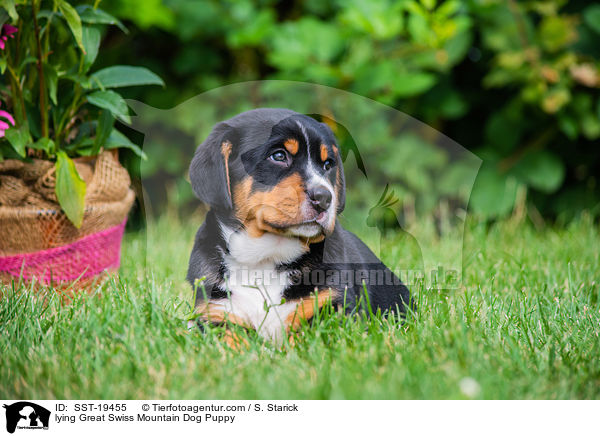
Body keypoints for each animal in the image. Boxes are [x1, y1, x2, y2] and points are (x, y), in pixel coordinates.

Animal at [189, 109, 412, 344]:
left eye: (327, 165)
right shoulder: (217, 315)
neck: (264, 258)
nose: (324, 198)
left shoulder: (329, 309)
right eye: (279, 156)